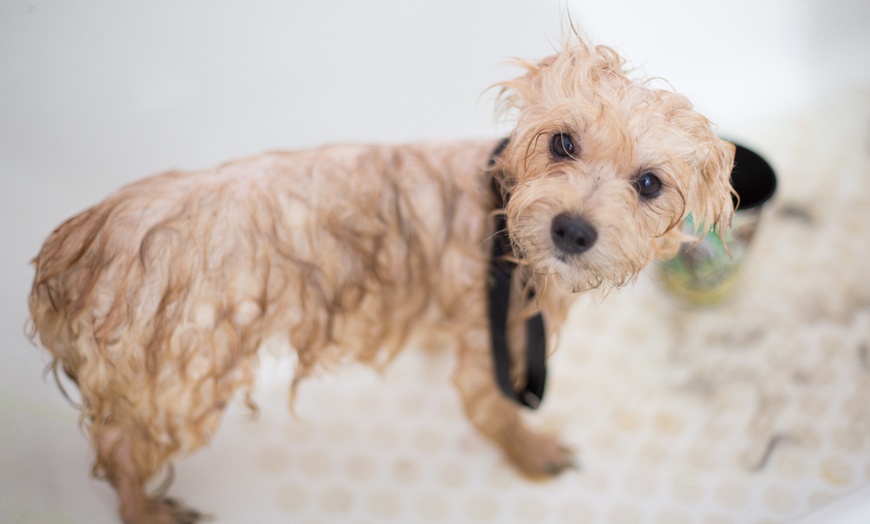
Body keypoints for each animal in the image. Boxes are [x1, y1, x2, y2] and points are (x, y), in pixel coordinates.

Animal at [29, 35, 736, 520]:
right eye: (563, 142)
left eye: (650, 184)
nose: (572, 229)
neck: (501, 212)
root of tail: (72, 252)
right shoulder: (493, 337)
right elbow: (494, 412)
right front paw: (532, 453)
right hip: (178, 382)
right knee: (120, 453)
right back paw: (146, 509)